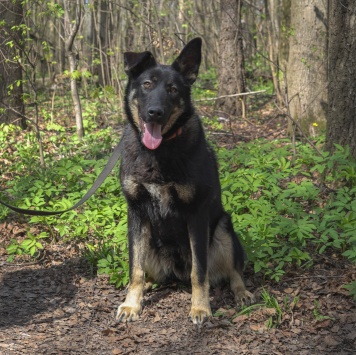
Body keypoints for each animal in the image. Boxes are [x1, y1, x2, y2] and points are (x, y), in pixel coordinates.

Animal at [116, 36, 253, 326]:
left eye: (173, 89)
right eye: (147, 84)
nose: (154, 113)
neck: (159, 152)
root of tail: (175, 271)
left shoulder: (196, 214)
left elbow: (199, 273)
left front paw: (200, 308)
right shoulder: (136, 213)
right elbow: (135, 269)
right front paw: (132, 304)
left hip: (224, 229)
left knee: (232, 271)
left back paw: (241, 292)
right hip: (147, 242)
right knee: (146, 272)